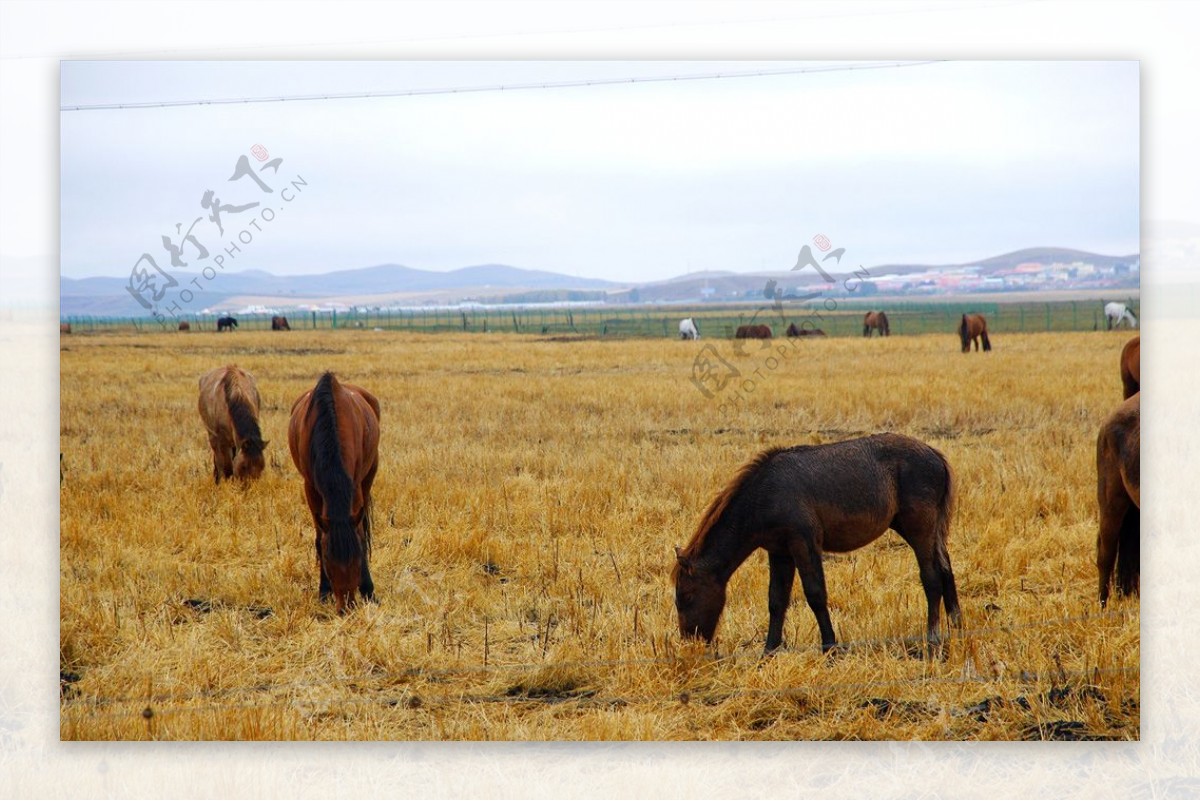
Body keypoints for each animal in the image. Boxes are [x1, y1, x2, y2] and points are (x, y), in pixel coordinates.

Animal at [288, 371, 381, 613]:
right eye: (329, 563)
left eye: (357, 560)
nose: (346, 608)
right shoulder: (311, 488)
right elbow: (319, 537)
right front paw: (323, 592)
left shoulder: (355, 487)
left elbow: (360, 534)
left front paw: (368, 591)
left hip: (369, 475)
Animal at [676, 434, 964, 652]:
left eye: (687, 595)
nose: (690, 641)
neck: (765, 493)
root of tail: (934, 454)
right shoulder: (780, 552)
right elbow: (776, 600)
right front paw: (769, 651)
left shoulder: (804, 544)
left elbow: (815, 594)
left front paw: (830, 647)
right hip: (926, 532)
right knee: (946, 570)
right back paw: (958, 626)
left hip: (919, 531)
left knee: (932, 578)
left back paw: (933, 639)